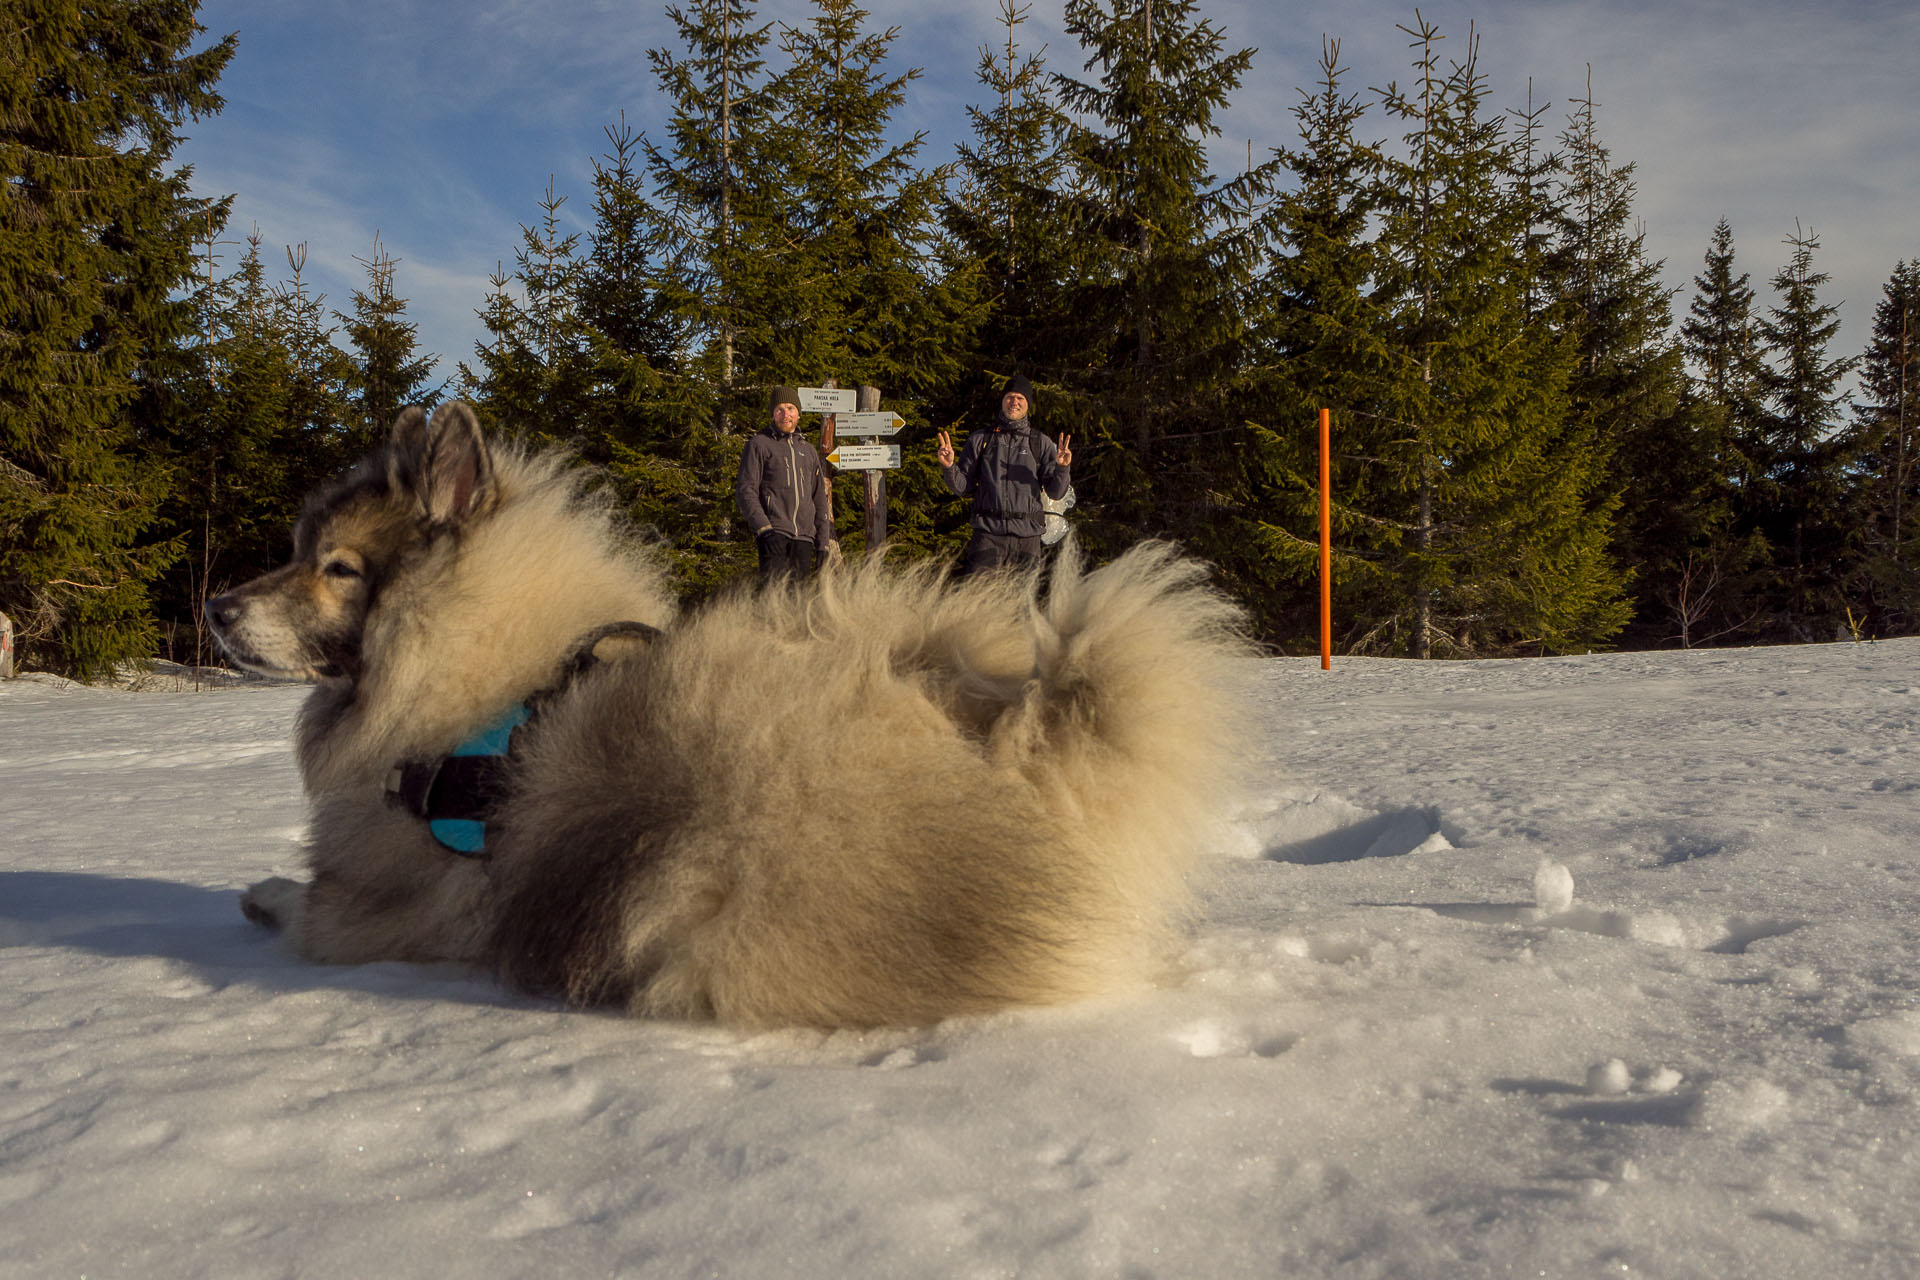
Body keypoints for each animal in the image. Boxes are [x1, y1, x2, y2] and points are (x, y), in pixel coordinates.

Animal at [206, 404, 1244, 1028]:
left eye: (336, 568)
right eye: (297, 552)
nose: (216, 606)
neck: (479, 670)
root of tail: (1026, 752)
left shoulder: (385, 914)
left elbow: (310, 911)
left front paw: (262, 893)